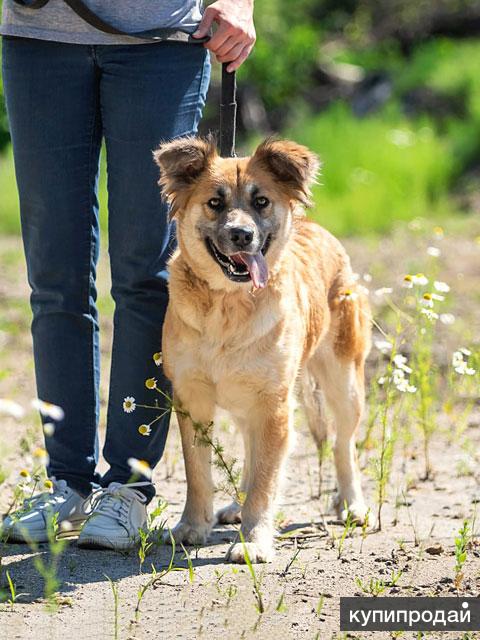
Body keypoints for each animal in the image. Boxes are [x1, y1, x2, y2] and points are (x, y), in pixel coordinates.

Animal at [154, 138, 372, 564]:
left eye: (261, 202)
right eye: (215, 203)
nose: (242, 235)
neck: (228, 303)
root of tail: (315, 226)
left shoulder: (274, 404)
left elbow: (267, 479)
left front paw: (253, 540)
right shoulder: (192, 398)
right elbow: (199, 472)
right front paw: (193, 526)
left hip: (344, 382)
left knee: (343, 445)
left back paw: (352, 504)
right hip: (246, 403)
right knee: (252, 451)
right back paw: (235, 506)